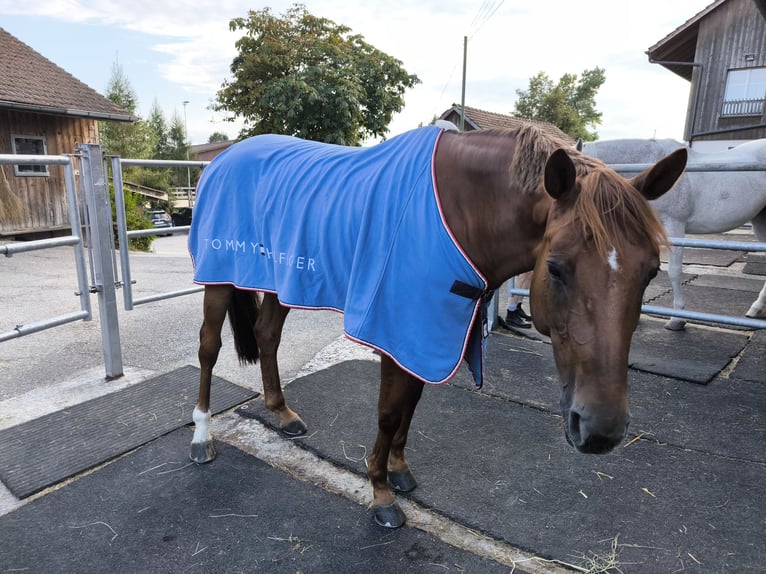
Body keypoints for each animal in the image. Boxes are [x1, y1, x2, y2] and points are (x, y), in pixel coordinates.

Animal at [188, 126, 688, 532]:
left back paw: (282, 413)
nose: (602, 430)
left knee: (267, 335)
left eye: (650, 271)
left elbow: (411, 402)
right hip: (218, 278)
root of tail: (226, 157)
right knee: (209, 349)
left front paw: (399, 470)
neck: (461, 209)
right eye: (556, 268)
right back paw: (201, 436)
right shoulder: (396, 325)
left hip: (280, 280)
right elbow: (389, 412)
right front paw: (381, 493)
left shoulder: (426, 330)